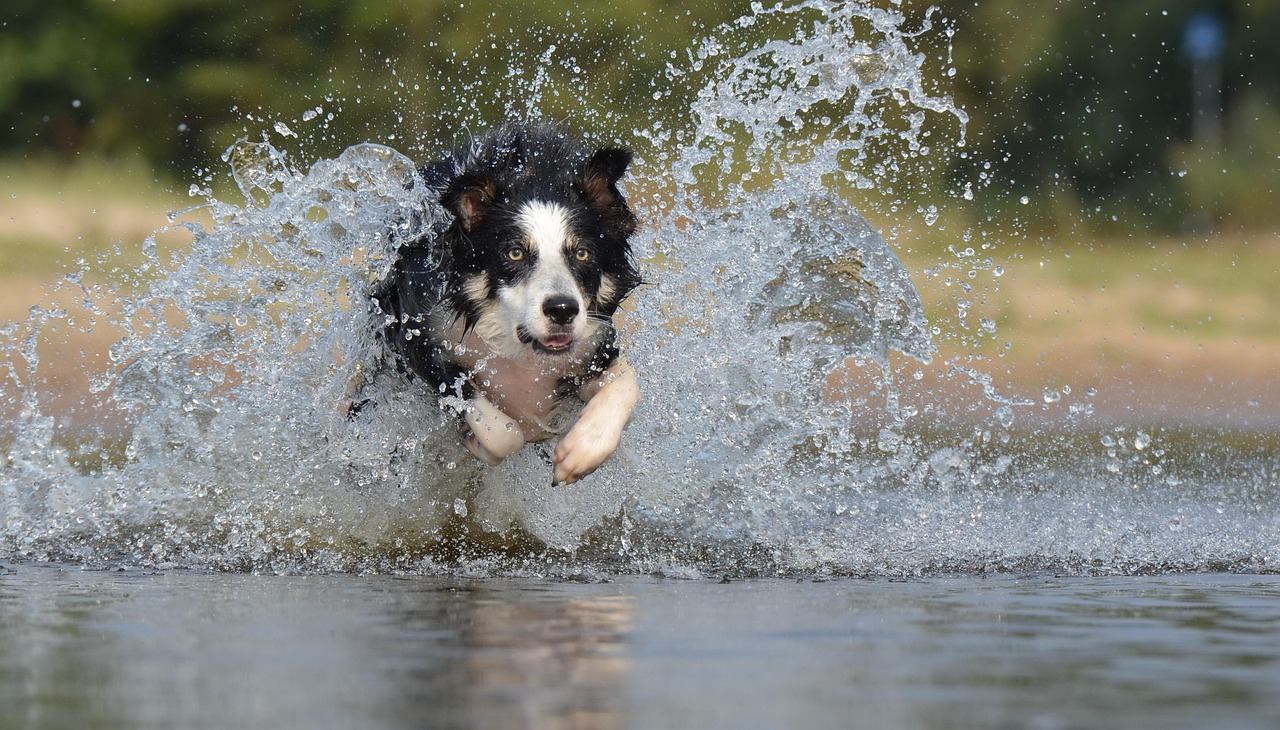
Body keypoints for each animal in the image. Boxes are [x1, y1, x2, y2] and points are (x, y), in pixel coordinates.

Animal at [373, 124, 645, 484]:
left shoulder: (594, 346)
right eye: (514, 253)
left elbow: (628, 384)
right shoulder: (420, 341)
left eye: (582, 253)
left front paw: (581, 451)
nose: (562, 310)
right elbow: (503, 432)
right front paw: (475, 439)